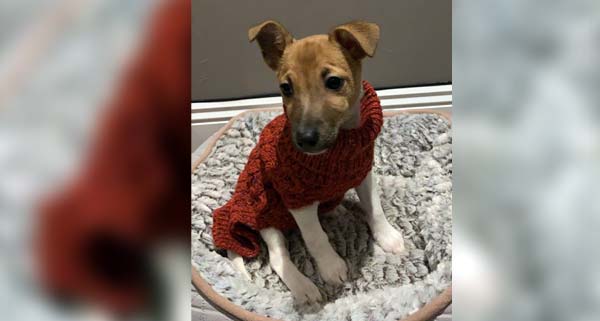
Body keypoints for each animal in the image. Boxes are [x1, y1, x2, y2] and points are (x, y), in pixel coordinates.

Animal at [227, 20, 406, 302]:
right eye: (286, 88)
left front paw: (387, 236)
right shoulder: (299, 199)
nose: (305, 139)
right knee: (278, 258)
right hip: (266, 219)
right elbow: (316, 237)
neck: (339, 146)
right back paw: (304, 288)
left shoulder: (363, 175)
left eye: (333, 82)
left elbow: (375, 208)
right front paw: (331, 267)